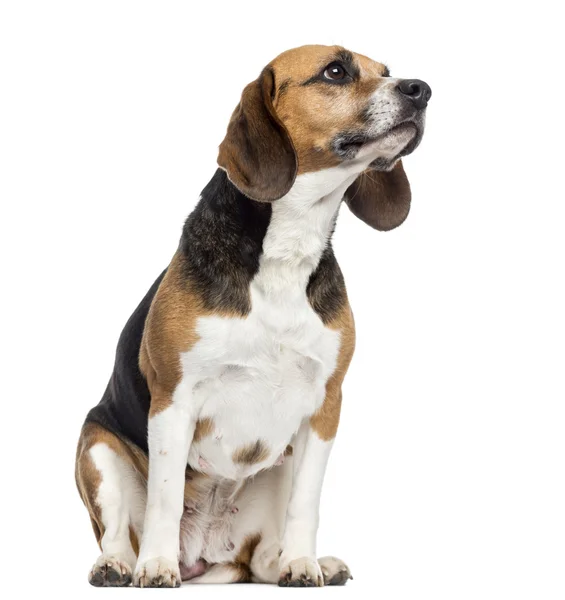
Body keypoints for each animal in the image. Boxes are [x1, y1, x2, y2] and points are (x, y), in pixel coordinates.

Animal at [74, 44, 428, 588]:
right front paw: (156, 567)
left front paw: (303, 564)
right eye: (336, 71)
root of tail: (206, 555)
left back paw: (302, 563)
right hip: (97, 448)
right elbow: (164, 500)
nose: (422, 89)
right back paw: (122, 565)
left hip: (274, 476)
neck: (288, 248)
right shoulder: (173, 401)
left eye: (385, 72)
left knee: (262, 559)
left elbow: (306, 504)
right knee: (118, 531)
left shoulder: (325, 406)